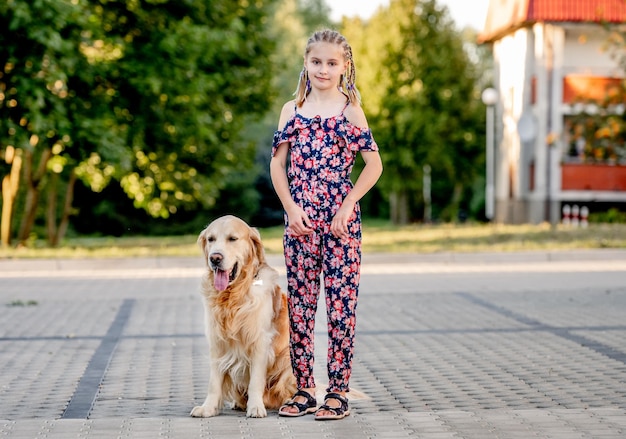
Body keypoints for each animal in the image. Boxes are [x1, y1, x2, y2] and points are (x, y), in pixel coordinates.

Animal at [190, 217, 294, 420]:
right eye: (211, 239)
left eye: (232, 239)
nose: (215, 258)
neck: (233, 295)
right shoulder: (217, 342)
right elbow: (214, 383)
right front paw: (208, 408)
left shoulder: (260, 342)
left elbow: (255, 381)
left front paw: (255, 407)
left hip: (287, 359)